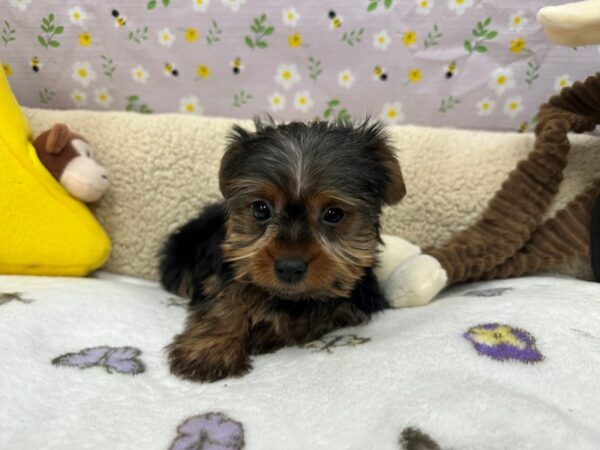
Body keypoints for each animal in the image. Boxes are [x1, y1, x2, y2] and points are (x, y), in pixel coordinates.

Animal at [159, 118, 404, 382]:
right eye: (261, 209)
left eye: (333, 214)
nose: (289, 268)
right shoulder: (227, 270)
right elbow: (225, 300)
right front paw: (208, 351)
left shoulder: (359, 299)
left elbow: (318, 311)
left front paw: (263, 332)